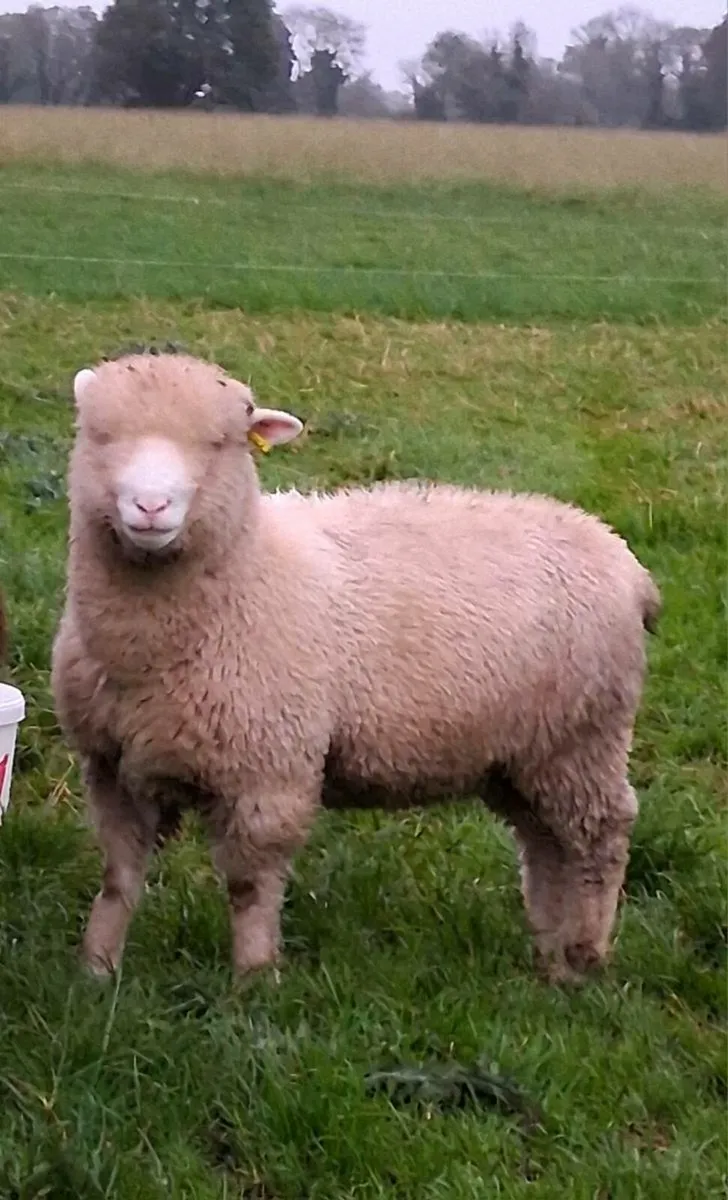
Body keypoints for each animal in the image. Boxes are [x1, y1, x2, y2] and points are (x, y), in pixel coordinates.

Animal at [51, 350, 661, 986]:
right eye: (100, 436)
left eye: (220, 443)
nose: (150, 507)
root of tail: (626, 561)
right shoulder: (111, 766)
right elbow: (118, 879)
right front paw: (96, 970)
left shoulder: (269, 771)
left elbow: (250, 888)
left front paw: (254, 980)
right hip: (525, 753)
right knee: (545, 842)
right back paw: (551, 956)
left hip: (583, 737)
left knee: (601, 836)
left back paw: (586, 952)